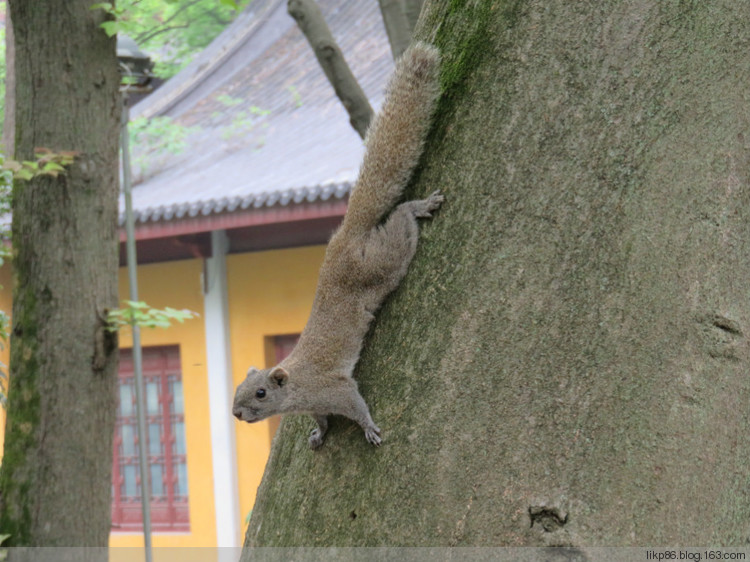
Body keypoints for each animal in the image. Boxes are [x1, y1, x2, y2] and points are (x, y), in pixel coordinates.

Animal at [232, 41, 444, 448]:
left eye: (261, 393)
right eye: (238, 388)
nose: (235, 413)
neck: (297, 387)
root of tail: (344, 236)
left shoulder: (334, 389)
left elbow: (355, 405)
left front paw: (369, 427)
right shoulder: (316, 403)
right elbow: (322, 419)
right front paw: (319, 431)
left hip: (379, 263)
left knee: (400, 224)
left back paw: (419, 206)